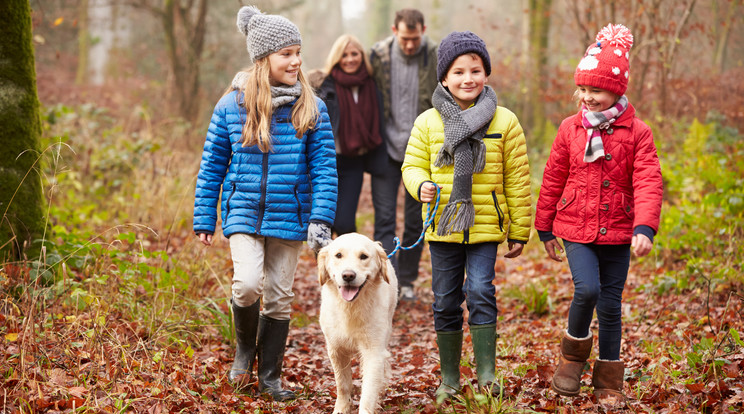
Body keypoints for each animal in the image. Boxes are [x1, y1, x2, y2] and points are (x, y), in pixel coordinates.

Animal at [316, 233, 398, 414]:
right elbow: (343, 384)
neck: (350, 307)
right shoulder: (336, 349)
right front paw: (342, 408)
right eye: (338, 255)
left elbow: (368, 393)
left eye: (363, 256)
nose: (348, 275)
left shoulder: (373, 351)